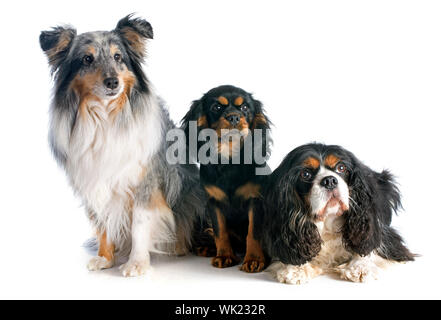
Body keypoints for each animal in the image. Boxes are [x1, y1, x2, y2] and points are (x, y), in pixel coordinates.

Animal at [39, 13, 205, 276]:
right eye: (87, 59)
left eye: (118, 57)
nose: (112, 82)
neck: (105, 116)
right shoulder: (93, 182)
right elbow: (103, 223)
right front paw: (104, 258)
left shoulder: (145, 183)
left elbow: (139, 224)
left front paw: (137, 263)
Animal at [180, 85, 270, 272]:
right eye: (216, 107)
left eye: (245, 107)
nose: (234, 117)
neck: (230, 159)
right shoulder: (213, 202)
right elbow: (220, 231)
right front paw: (224, 256)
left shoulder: (256, 201)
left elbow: (253, 232)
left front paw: (254, 260)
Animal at [262, 144, 416, 284]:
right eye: (305, 174)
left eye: (341, 168)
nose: (329, 180)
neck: (327, 222)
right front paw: (296, 269)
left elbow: (369, 245)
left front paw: (360, 266)